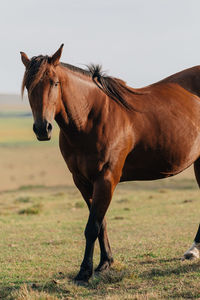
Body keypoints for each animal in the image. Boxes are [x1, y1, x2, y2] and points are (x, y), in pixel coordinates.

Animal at [20, 44, 200, 282]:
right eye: (28, 86)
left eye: (54, 83)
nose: (43, 128)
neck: (90, 119)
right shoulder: (83, 181)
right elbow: (100, 223)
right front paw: (105, 263)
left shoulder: (105, 179)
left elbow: (92, 226)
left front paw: (84, 272)